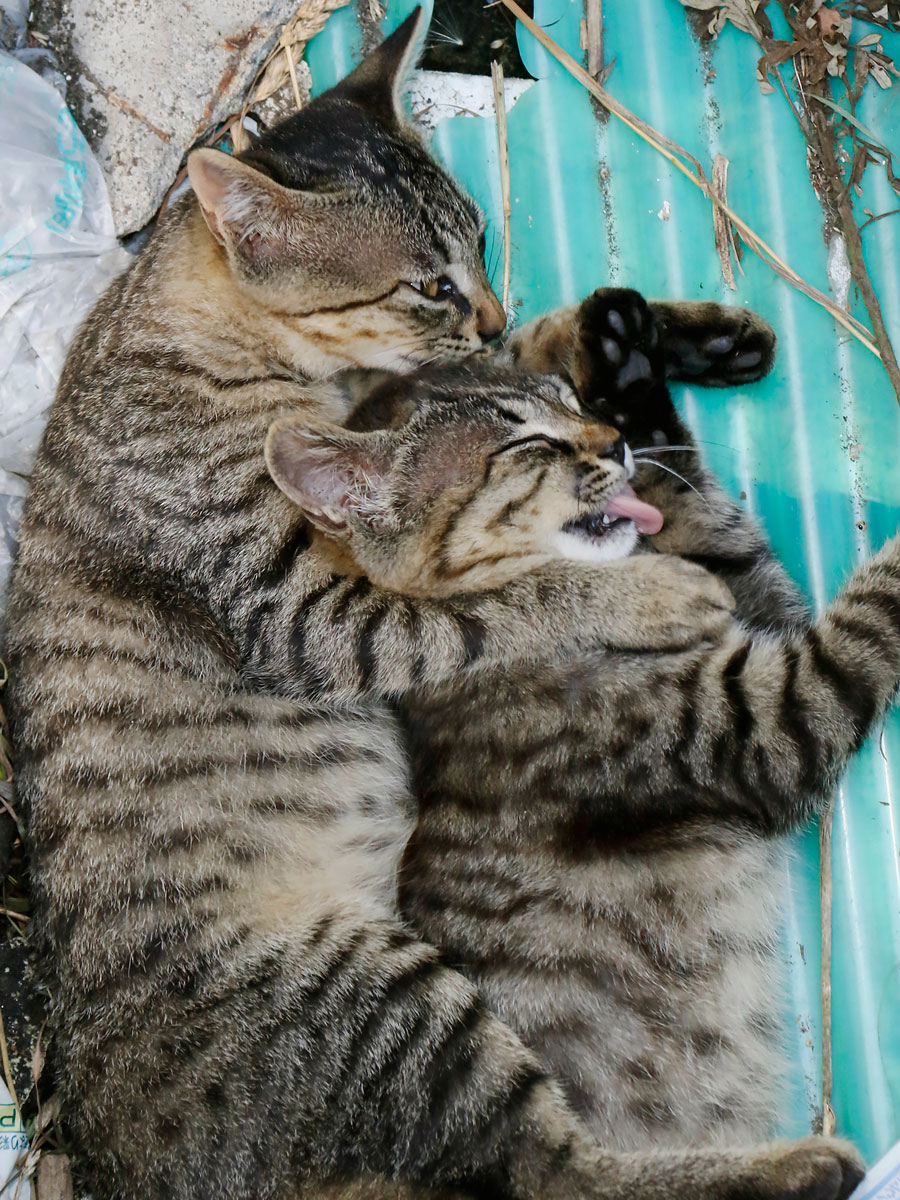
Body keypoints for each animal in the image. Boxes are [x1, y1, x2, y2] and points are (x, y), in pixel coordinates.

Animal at [3, 9, 864, 1200]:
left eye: (487, 246)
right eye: (427, 286)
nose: (485, 310)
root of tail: (100, 1148)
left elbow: (532, 368)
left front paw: (653, 332)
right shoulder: (306, 609)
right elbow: (504, 602)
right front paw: (647, 582)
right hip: (382, 999)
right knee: (549, 1168)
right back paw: (797, 1167)